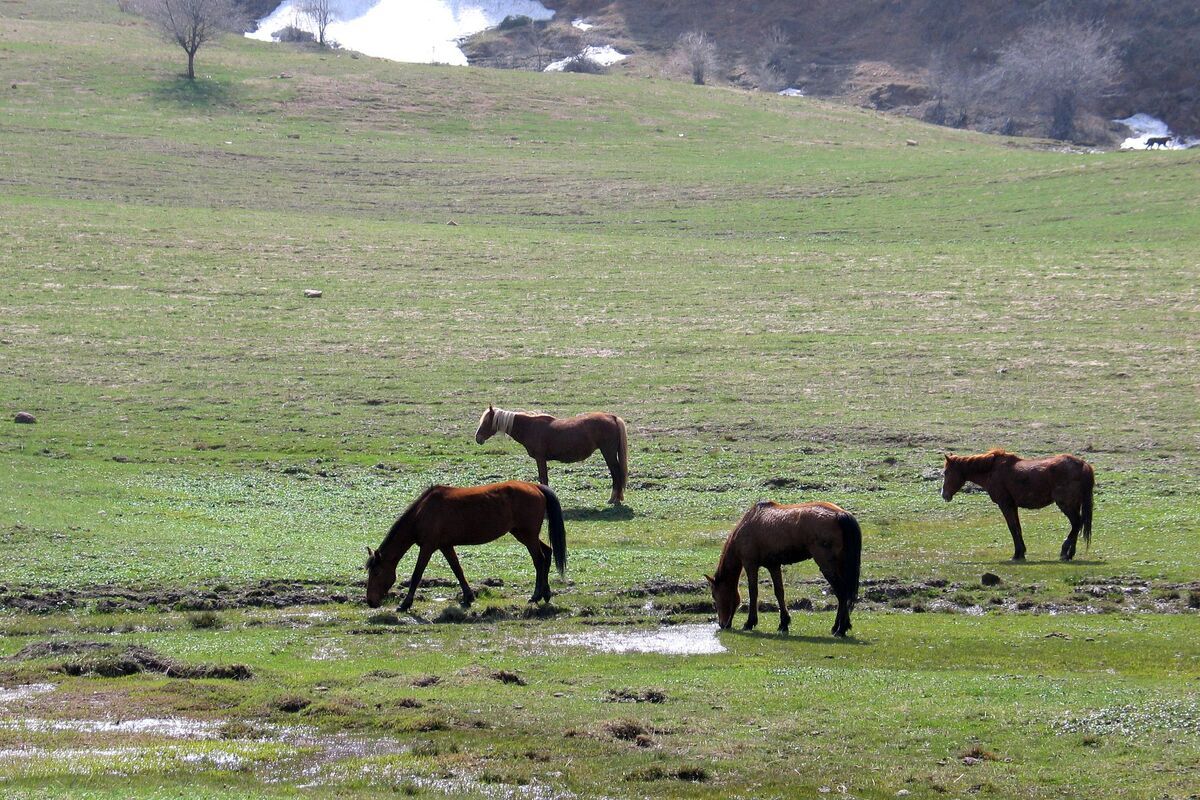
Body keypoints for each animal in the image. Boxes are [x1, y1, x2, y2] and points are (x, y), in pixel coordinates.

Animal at [364, 481, 566, 610]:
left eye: (376, 572)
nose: (370, 601)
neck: (423, 512)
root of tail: (535, 487)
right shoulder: (445, 546)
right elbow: (457, 570)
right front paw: (468, 597)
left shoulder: (428, 547)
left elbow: (417, 575)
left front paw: (405, 604)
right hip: (524, 534)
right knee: (547, 553)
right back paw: (546, 594)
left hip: (527, 535)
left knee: (539, 560)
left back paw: (536, 595)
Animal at [474, 405, 628, 504]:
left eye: (486, 421)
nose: (478, 438)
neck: (530, 427)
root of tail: (612, 417)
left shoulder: (540, 458)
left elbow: (543, 479)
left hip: (608, 453)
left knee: (616, 473)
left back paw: (614, 499)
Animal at [707, 500, 862, 637]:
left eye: (714, 596)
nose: (722, 624)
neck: (749, 523)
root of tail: (841, 514)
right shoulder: (773, 565)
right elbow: (779, 592)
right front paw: (783, 623)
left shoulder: (750, 564)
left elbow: (753, 592)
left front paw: (750, 623)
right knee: (844, 594)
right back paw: (839, 626)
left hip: (826, 565)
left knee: (842, 593)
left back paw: (840, 629)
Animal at [941, 449, 1094, 561]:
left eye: (946, 472)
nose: (944, 495)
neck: (992, 470)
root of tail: (1083, 465)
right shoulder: (1013, 506)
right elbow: (1018, 528)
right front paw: (1021, 553)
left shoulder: (1005, 505)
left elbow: (1012, 527)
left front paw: (1016, 554)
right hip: (1074, 504)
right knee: (1078, 525)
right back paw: (1070, 554)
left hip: (1066, 505)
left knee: (1076, 523)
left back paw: (1064, 552)